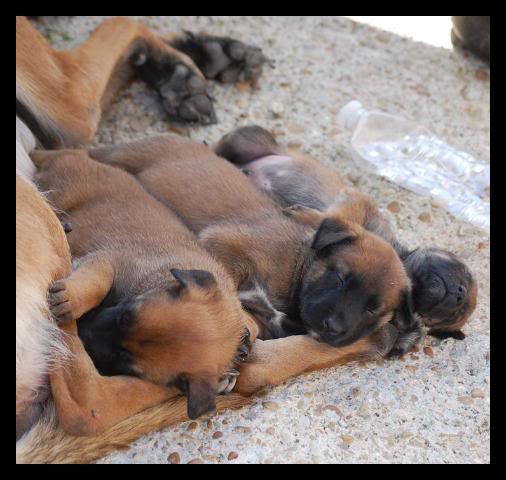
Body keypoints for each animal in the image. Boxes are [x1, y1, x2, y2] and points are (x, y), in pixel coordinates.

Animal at [214, 124, 478, 342]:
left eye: (458, 313)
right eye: (465, 273)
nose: (460, 294)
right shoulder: (357, 203)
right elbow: (334, 216)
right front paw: (304, 214)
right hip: (243, 141)